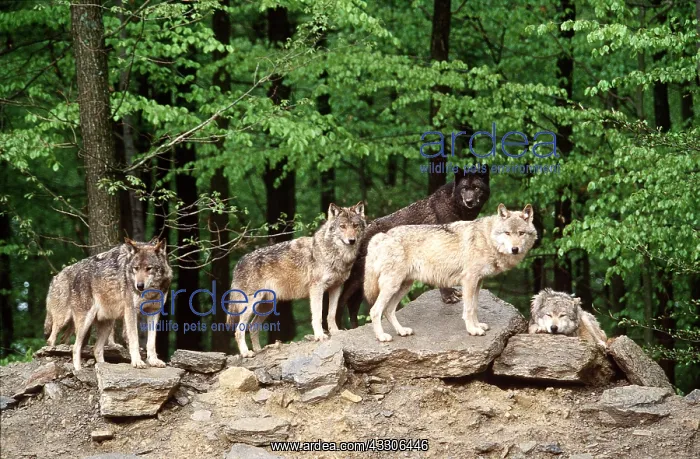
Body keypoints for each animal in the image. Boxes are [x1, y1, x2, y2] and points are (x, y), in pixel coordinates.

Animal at [45, 238, 172, 370]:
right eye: (136, 268)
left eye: (149, 268)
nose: (139, 286)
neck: (151, 292)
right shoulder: (131, 311)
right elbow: (134, 339)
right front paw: (137, 361)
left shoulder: (154, 311)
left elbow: (151, 342)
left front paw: (154, 361)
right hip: (79, 321)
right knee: (72, 346)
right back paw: (78, 370)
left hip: (107, 324)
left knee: (96, 349)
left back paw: (102, 366)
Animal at [227, 202, 367, 357]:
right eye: (342, 226)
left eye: (355, 225)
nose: (352, 240)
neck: (335, 254)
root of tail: (239, 262)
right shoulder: (316, 289)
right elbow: (318, 315)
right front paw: (320, 336)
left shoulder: (336, 288)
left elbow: (331, 314)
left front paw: (335, 332)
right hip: (252, 305)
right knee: (239, 330)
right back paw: (246, 353)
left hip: (267, 306)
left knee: (252, 327)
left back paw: (258, 350)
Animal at [338, 168, 490, 328]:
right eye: (464, 188)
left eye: (476, 188)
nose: (469, 201)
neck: (453, 204)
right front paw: (448, 297)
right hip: (357, 280)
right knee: (340, 301)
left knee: (352, 305)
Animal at [363, 203, 536, 341]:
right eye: (507, 233)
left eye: (521, 233)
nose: (515, 249)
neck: (487, 239)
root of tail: (382, 236)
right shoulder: (469, 281)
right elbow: (468, 309)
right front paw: (472, 330)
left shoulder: (478, 282)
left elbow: (474, 307)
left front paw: (478, 325)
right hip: (392, 286)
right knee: (375, 310)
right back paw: (381, 337)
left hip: (404, 286)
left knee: (388, 310)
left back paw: (401, 331)